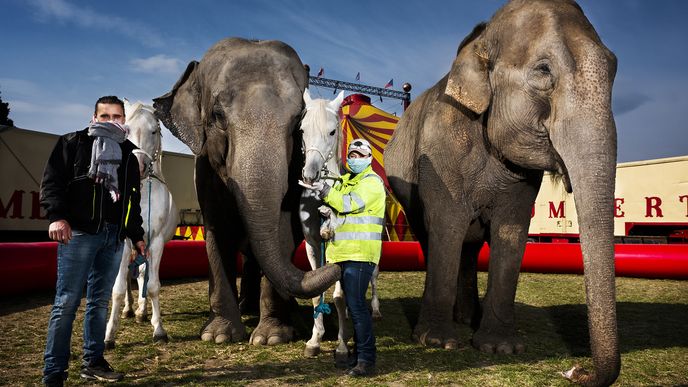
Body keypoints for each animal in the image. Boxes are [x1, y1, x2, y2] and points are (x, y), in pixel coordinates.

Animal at [105, 101, 180, 348]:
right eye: (125, 129)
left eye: (154, 131)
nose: (137, 165)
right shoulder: (125, 242)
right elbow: (118, 289)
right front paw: (109, 335)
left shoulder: (155, 242)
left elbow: (153, 285)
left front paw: (159, 330)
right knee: (130, 278)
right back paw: (129, 310)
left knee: (141, 275)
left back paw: (140, 312)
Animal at [153, 37, 342, 346]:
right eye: (217, 115)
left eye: (297, 122)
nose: (336, 267)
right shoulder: (204, 169)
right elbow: (217, 229)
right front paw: (218, 336)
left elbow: (281, 232)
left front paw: (271, 338)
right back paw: (246, 308)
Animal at [300, 88, 382, 360]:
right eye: (302, 129)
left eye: (332, 131)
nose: (310, 176)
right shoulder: (313, 244)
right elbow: (317, 293)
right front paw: (314, 341)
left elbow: (338, 297)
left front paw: (342, 345)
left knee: (373, 276)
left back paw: (375, 310)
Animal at [384, 1, 620, 386]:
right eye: (543, 70)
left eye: (614, 69)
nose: (578, 371)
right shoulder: (440, 150)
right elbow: (447, 225)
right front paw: (437, 342)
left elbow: (510, 231)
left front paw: (500, 348)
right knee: (433, 237)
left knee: (469, 249)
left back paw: (467, 319)